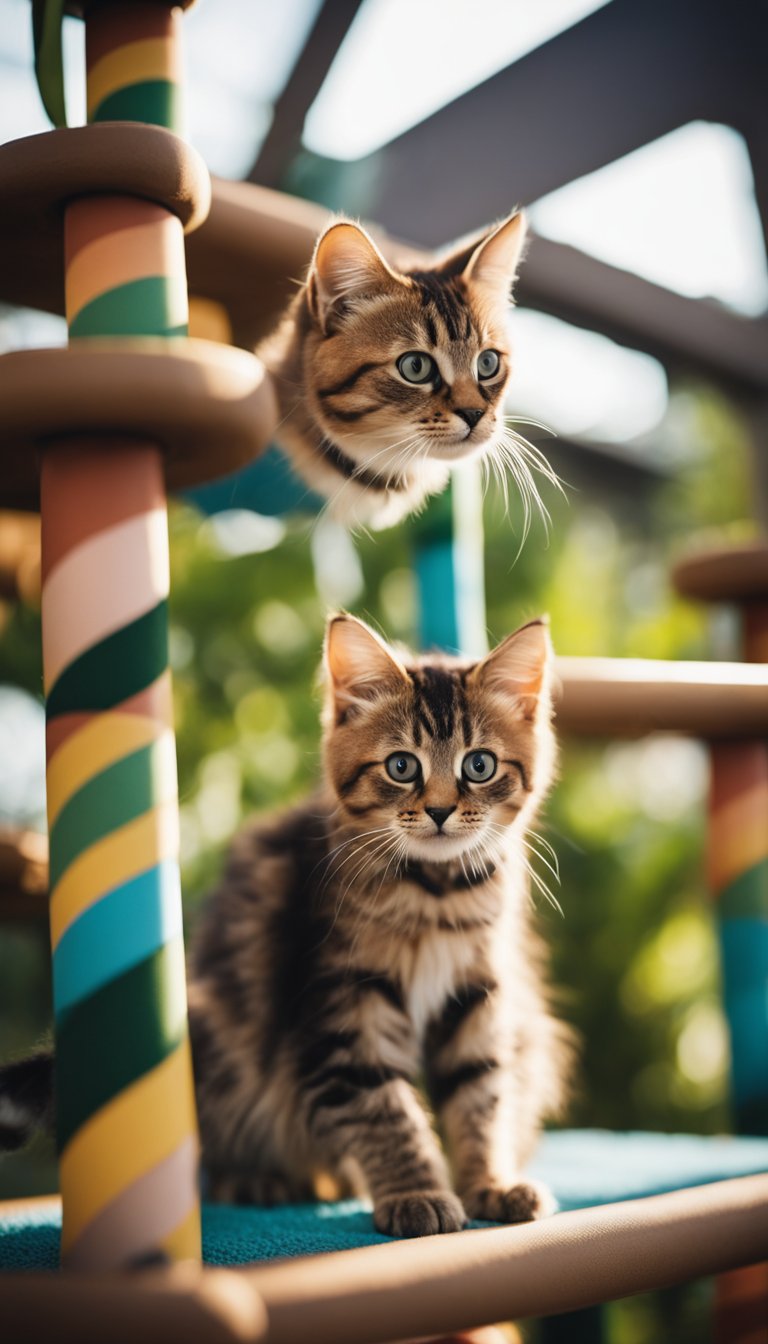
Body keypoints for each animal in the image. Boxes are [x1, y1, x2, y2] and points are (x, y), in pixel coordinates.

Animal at [186, 615, 570, 1231]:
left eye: (479, 765)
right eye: (401, 766)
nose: (439, 810)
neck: (436, 895)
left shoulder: (478, 994)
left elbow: (481, 1095)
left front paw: (490, 1184)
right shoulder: (343, 1004)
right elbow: (385, 1111)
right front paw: (417, 1195)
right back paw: (262, 1180)